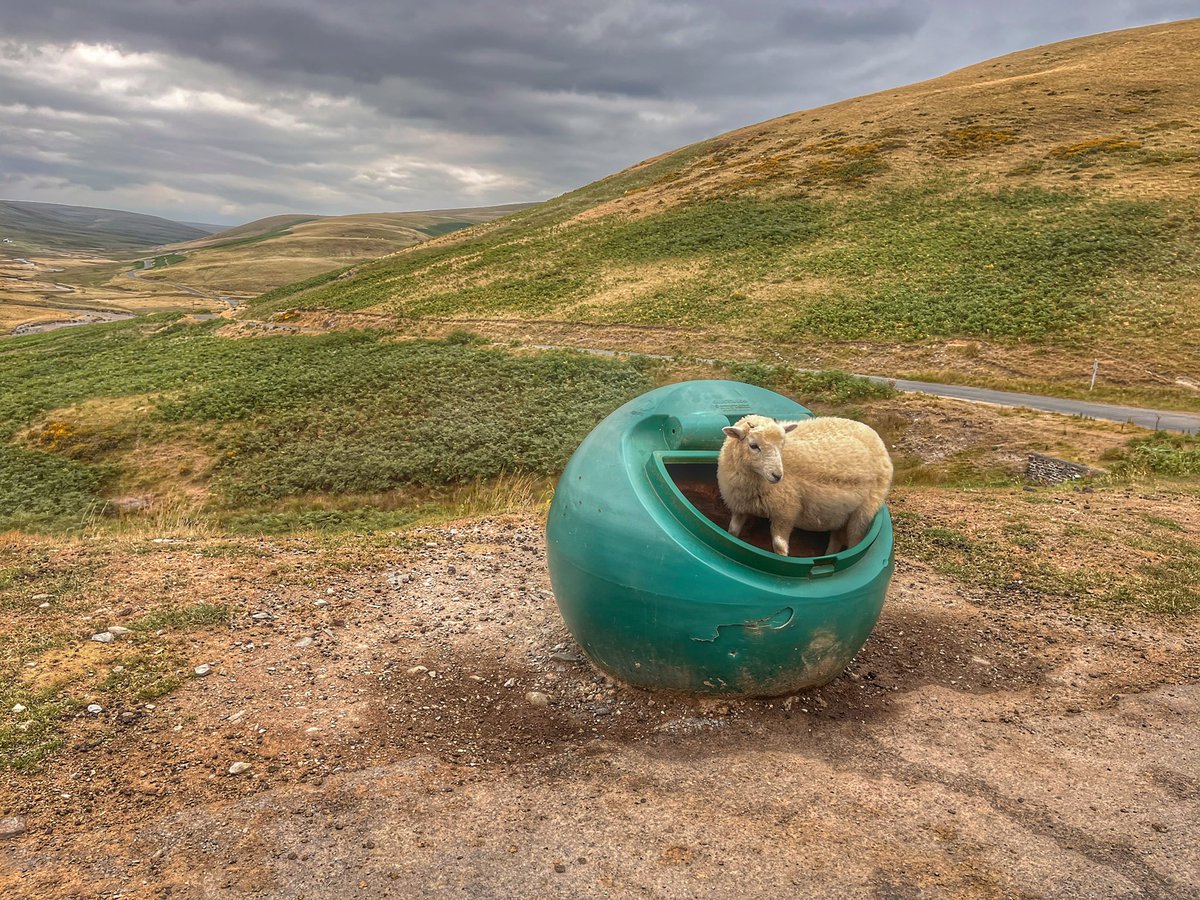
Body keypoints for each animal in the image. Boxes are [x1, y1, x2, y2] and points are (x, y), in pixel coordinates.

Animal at [717, 414, 893, 557]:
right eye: (753, 445)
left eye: (782, 446)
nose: (777, 476)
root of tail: (875, 436)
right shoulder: (740, 507)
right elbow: (732, 532)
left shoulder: (785, 513)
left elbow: (779, 546)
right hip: (841, 515)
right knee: (836, 538)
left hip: (864, 511)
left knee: (854, 540)